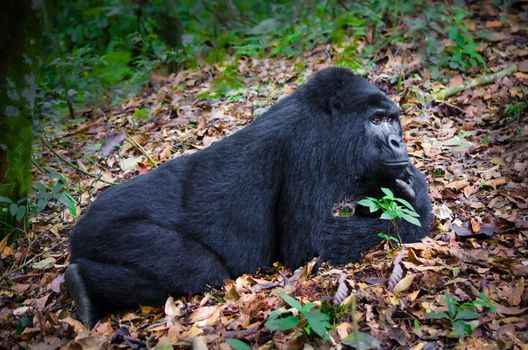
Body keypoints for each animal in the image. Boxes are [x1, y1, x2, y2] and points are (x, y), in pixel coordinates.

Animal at [64, 67, 432, 326]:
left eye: (392, 120)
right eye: (376, 120)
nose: (398, 142)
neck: (331, 119)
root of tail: (76, 231)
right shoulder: (311, 147)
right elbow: (308, 244)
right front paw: (415, 207)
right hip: (110, 231)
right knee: (199, 268)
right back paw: (80, 287)